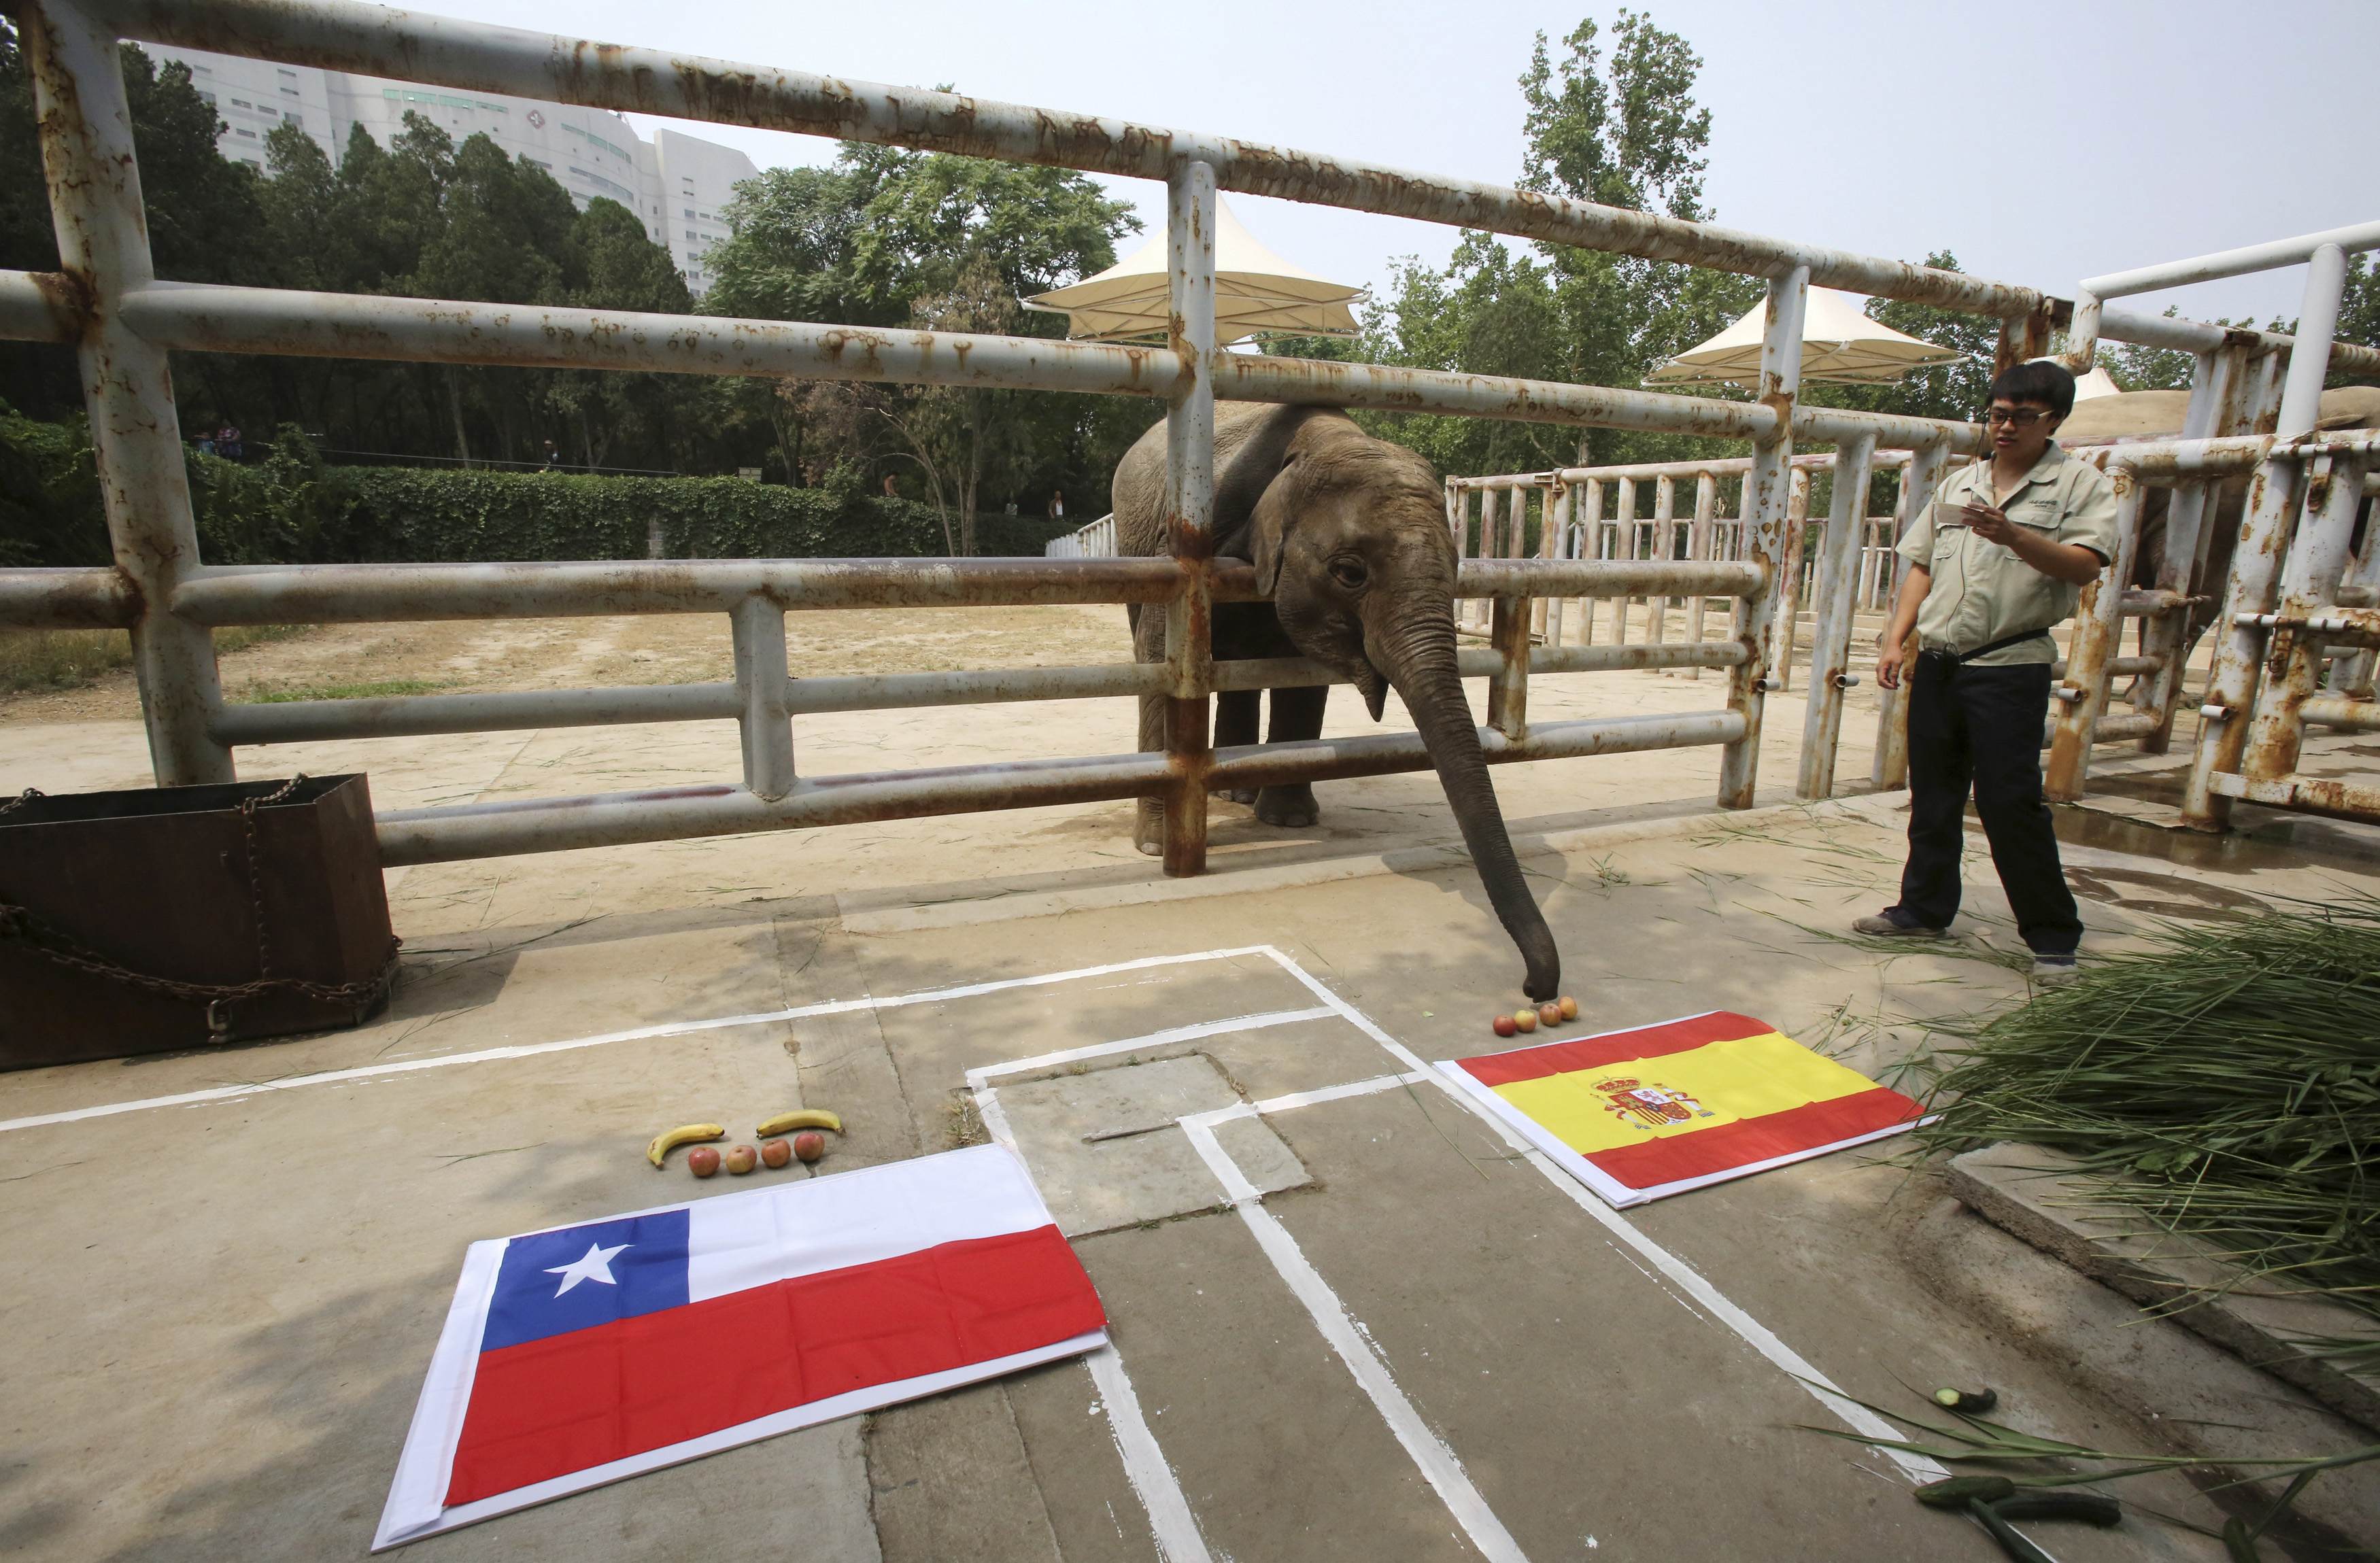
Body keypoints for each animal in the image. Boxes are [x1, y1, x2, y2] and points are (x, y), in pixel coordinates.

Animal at [1109, 402, 1561, 999]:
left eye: (1458, 568)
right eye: (1350, 572)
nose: (1535, 987)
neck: (1317, 442)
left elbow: (1304, 677)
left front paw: (1290, 824)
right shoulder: (1180, 549)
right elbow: (1161, 653)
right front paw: (1157, 851)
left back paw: (1238, 794)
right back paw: (1227, 796)